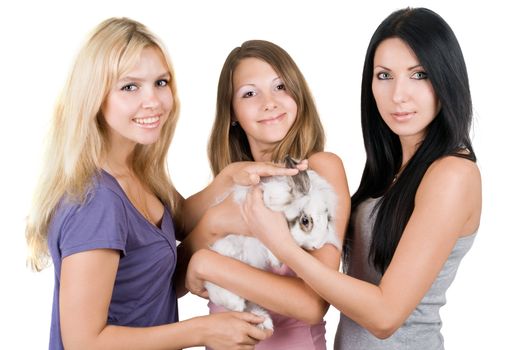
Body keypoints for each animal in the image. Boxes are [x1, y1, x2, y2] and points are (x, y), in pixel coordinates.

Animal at [206, 157, 342, 330]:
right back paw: (240, 305)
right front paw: (276, 261)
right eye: (305, 221)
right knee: (232, 302)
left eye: (327, 220)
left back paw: (263, 321)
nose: (316, 246)